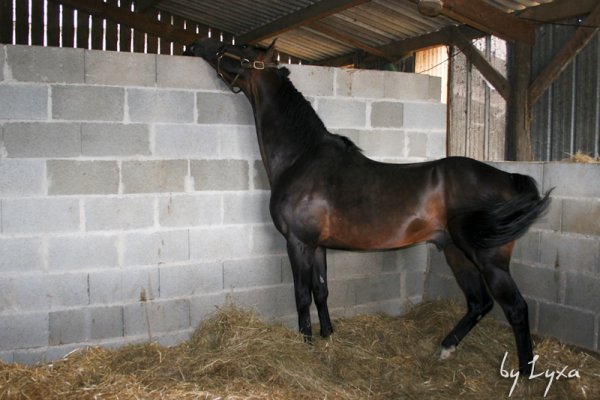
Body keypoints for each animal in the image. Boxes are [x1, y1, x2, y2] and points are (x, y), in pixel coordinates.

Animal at [185, 38, 552, 376]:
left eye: (242, 51)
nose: (198, 44)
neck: (301, 158)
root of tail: (509, 178)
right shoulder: (317, 246)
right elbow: (321, 290)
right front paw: (328, 336)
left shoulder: (298, 243)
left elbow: (301, 294)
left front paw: (306, 345)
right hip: (455, 251)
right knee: (479, 302)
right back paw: (446, 348)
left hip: (488, 260)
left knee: (515, 308)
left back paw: (524, 374)